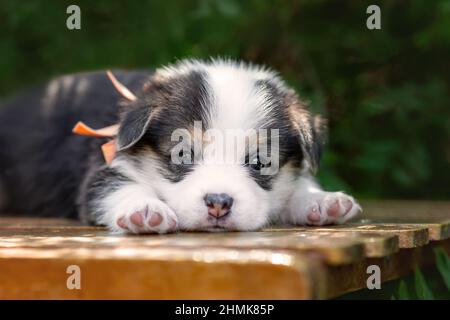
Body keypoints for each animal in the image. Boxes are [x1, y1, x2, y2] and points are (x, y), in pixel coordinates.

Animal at [0, 58, 360, 232]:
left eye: (260, 162)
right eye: (182, 153)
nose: (218, 203)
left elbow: (299, 185)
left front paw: (322, 201)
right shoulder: (102, 168)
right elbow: (119, 186)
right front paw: (146, 209)